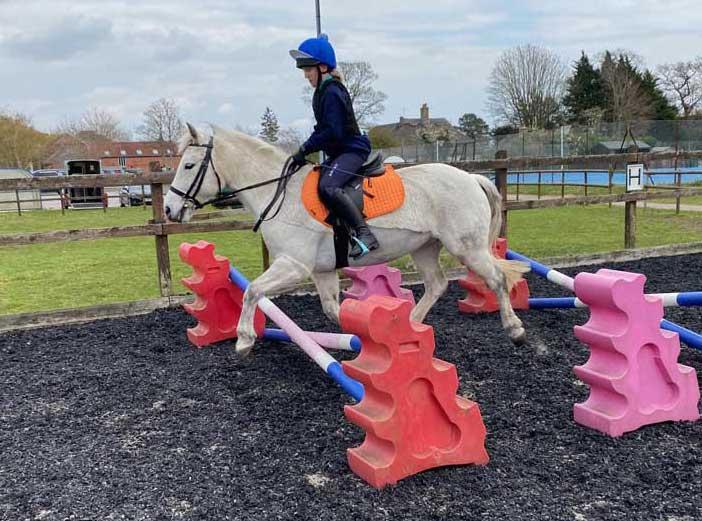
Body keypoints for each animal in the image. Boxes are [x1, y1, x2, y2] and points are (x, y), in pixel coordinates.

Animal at [166, 124, 528, 356]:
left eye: (189, 165)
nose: (169, 209)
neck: (279, 193)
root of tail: (471, 176)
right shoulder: (322, 271)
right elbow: (333, 311)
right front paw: (364, 339)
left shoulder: (294, 266)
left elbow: (252, 291)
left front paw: (243, 341)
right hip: (425, 247)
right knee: (437, 284)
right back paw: (409, 327)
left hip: (467, 248)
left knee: (497, 278)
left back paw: (515, 329)